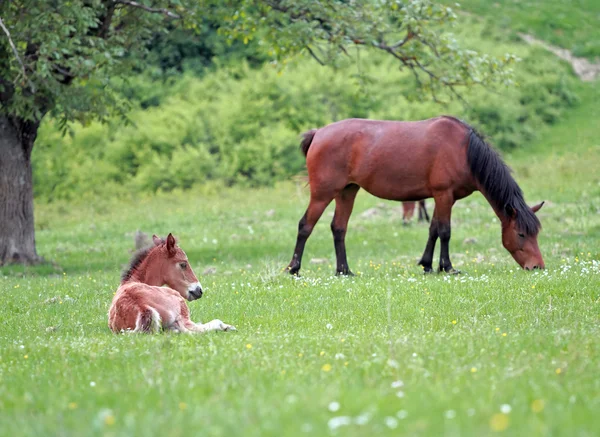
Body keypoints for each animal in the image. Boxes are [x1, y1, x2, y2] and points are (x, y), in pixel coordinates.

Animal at [288, 115, 548, 272]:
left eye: (536, 234)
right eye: (521, 234)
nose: (537, 266)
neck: (463, 150)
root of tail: (318, 133)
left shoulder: (442, 198)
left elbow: (433, 230)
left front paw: (427, 265)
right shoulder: (444, 195)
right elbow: (445, 231)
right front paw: (447, 267)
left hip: (346, 192)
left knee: (339, 228)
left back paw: (344, 271)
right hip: (322, 194)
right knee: (305, 226)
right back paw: (294, 268)